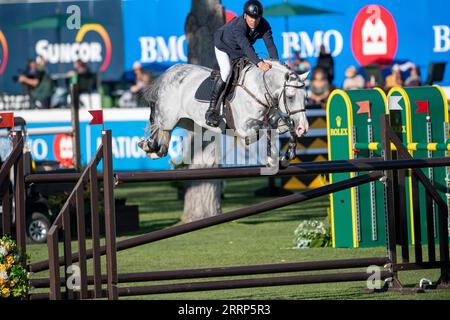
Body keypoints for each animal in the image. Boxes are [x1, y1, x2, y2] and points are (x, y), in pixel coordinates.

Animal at [141, 58, 310, 166]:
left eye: (305, 97)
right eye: (290, 97)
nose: (304, 128)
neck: (259, 90)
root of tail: (170, 71)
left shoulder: (277, 121)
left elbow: (286, 127)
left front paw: (287, 156)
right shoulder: (245, 131)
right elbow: (266, 129)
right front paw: (273, 158)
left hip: (188, 123)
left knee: (163, 141)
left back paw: (152, 150)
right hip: (168, 118)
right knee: (158, 127)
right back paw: (147, 145)